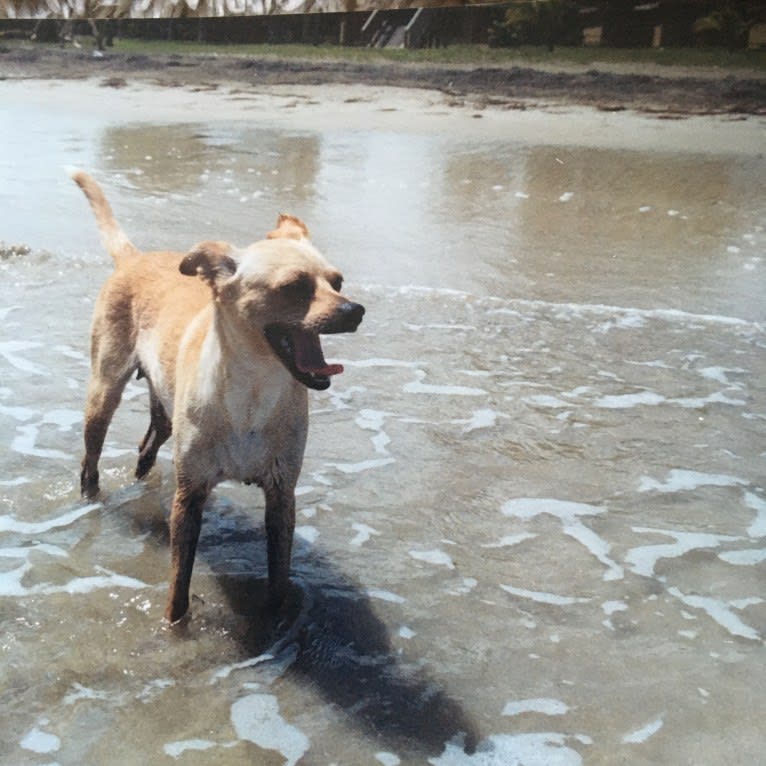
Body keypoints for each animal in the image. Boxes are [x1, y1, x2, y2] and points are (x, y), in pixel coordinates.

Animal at [73, 172, 368, 624]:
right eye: (294, 287)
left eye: (337, 282)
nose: (354, 310)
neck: (253, 389)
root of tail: (133, 259)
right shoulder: (190, 493)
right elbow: (179, 583)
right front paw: (174, 626)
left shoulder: (281, 494)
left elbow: (279, 575)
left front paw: (277, 622)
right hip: (104, 390)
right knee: (91, 456)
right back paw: (90, 498)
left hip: (165, 414)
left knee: (147, 446)